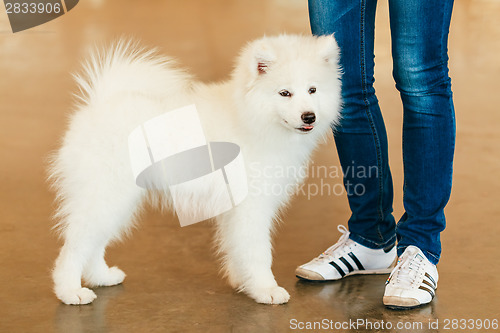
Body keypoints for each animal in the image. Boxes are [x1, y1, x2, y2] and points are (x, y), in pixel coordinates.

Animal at [48, 35, 342, 304]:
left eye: (313, 90)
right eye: (284, 93)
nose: (309, 116)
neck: (250, 119)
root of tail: (98, 105)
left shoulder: (233, 208)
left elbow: (236, 247)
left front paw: (242, 281)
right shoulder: (252, 206)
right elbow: (258, 250)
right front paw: (265, 289)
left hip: (116, 201)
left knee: (94, 243)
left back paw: (102, 277)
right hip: (108, 195)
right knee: (74, 247)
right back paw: (70, 291)